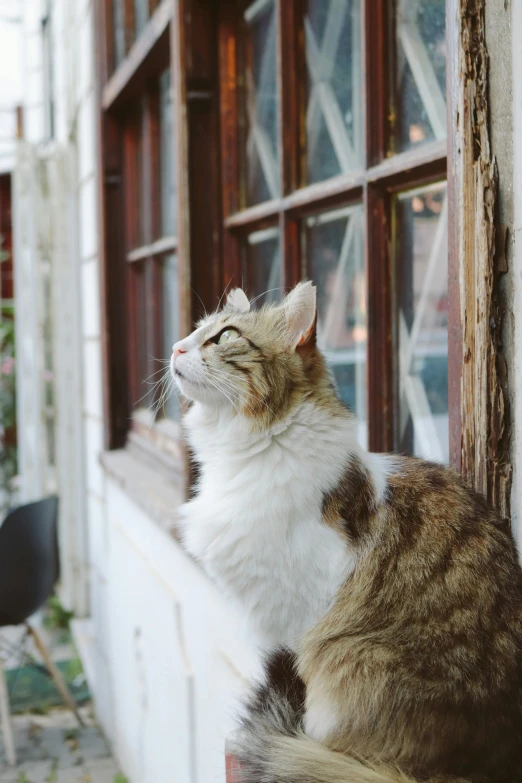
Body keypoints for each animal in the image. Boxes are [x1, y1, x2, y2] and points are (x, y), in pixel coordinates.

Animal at [173, 284, 520, 783]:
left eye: (225, 337)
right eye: (195, 331)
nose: (176, 348)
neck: (249, 450)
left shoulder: (297, 618)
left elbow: (295, 682)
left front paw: (285, 735)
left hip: (351, 659)